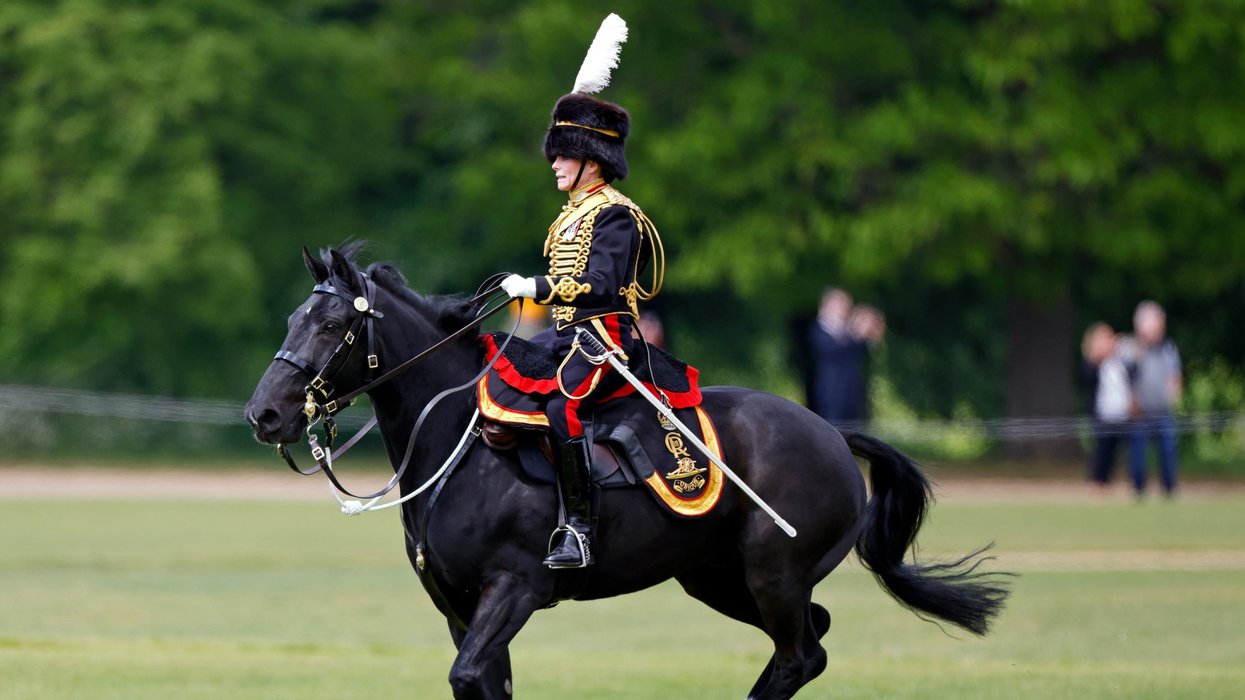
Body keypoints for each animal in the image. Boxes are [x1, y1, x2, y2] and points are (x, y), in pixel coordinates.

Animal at [244, 245, 1011, 700]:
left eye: (332, 326)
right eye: (290, 319)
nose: (265, 414)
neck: (457, 446)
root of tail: (829, 432)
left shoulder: (514, 589)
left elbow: (470, 676)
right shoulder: (458, 606)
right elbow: (484, 682)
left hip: (773, 573)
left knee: (799, 654)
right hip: (716, 578)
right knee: (810, 642)